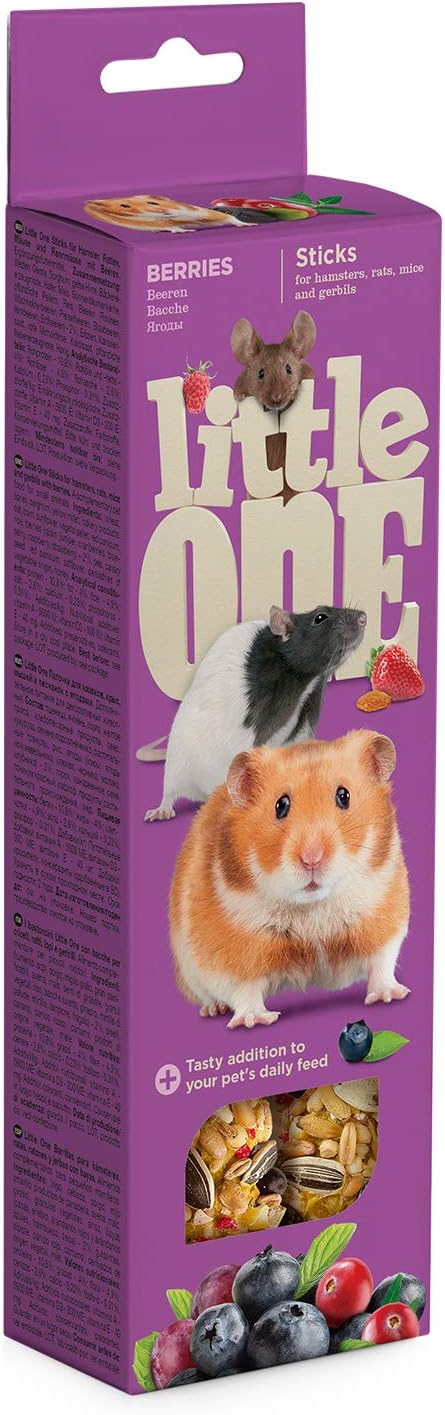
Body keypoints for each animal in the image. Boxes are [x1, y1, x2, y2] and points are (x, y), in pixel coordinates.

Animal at [141, 605, 366, 821]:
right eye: (320, 617)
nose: (363, 617)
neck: (304, 682)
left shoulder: (308, 713)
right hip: (177, 762)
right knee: (170, 790)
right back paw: (163, 809)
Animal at [169, 731, 410, 1029]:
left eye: (344, 796)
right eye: (281, 805)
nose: (312, 859)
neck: (312, 908)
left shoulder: (382, 915)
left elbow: (382, 961)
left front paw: (390, 995)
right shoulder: (231, 954)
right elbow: (245, 988)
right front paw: (254, 1021)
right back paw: (214, 1009)